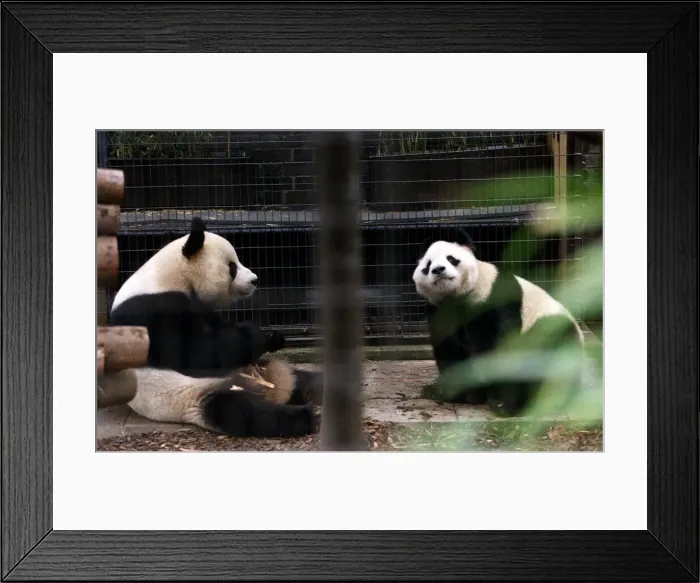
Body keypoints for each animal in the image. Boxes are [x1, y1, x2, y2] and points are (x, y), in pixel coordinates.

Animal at [103, 216, 323, 438]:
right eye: (232, 267)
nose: (255, 280)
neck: (167, 277)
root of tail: (271, 389)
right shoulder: (152, 311)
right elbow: (194, 352)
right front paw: (255, 334)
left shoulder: (196, 305)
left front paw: (272, 337)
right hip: (195, 397)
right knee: (245, 412)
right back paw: (306, 417)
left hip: (262, 369)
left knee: (302, 379)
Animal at [412, 228, 585, 417]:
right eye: (428, 265)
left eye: (451, 259)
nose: (438, 270)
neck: (456, 297)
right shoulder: (440, 311)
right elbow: (449, 350)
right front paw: (454, 393)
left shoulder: (494, 300)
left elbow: (501, 348)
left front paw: (500, 402)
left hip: (550, 331)